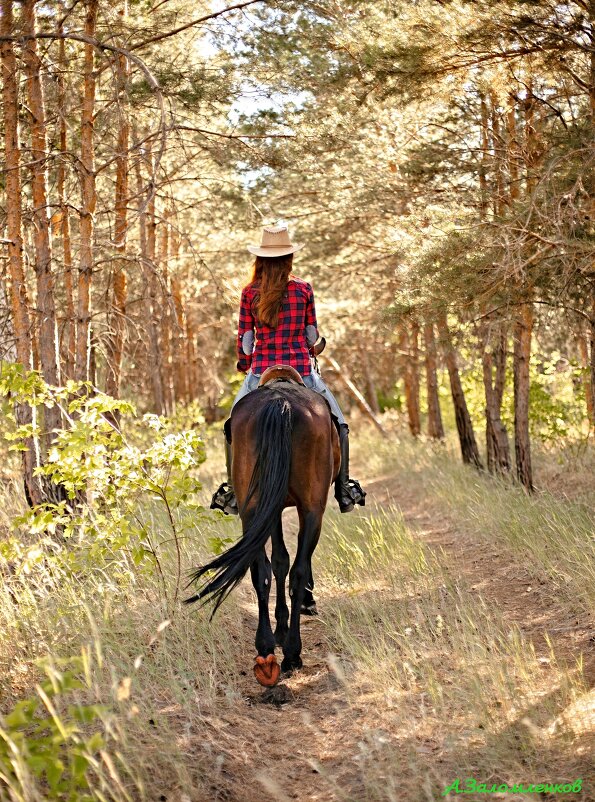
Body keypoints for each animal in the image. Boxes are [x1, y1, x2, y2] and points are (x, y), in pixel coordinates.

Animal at [185, 366, 340, 684]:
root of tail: (280, 402)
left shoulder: (273, 507)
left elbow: (278, 561)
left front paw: (279, 630)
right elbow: (286, 562)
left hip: (252, 509)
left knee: (261, 571)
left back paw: (267, 651)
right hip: (311, 509)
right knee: (298, 570)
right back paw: (292, 653)